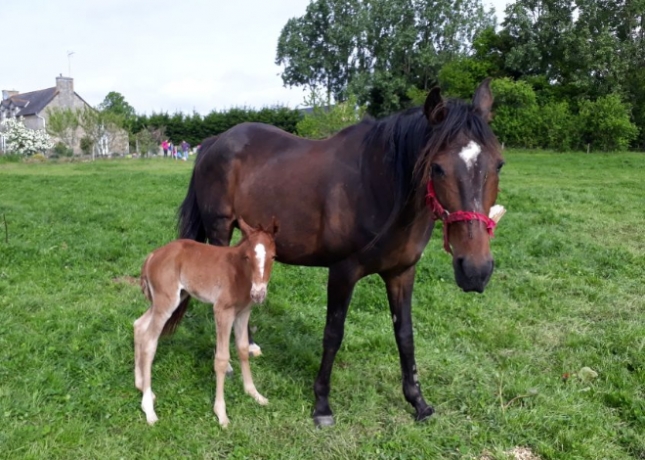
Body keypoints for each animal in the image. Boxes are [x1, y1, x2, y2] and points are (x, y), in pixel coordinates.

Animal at [133, 217, 278, 427]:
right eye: (248, 257)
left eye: (273, 257)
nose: (258, 294)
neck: (240, 272)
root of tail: (153, 255)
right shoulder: (223, 311)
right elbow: (221, 359)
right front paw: (221, 413)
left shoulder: (243, 313)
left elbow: (243, 349)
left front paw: (254, 394)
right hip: (166, 302)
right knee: (149, 342)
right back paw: (149, 409)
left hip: (172, 299)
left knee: (138, 325)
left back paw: (141, 385)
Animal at [175, 78, 505, 426]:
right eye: (438, 168)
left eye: (499, 163)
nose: (476, 271)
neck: (378, 185)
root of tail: (215, 142)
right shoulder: (343, 272)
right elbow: (333, 333)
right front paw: (322, 404)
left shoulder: (402, 273)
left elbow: (405, 335)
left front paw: (418, 401)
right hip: (220, 230)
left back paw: (248, 344)